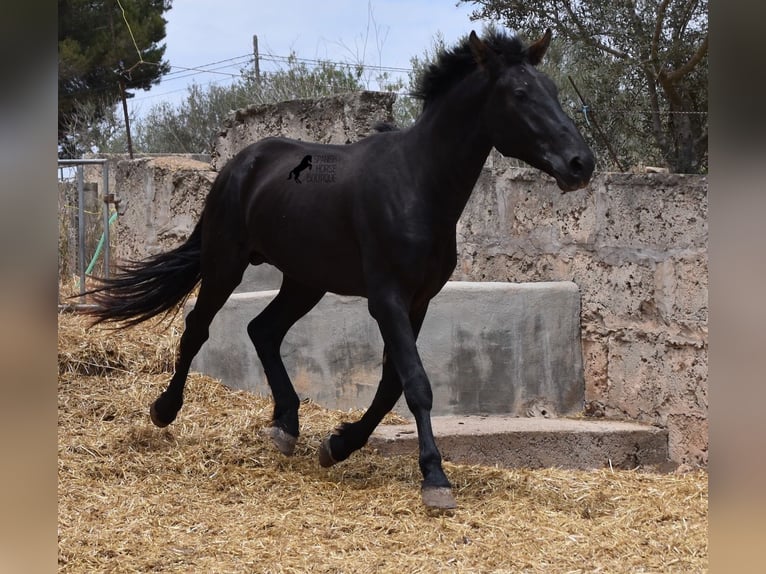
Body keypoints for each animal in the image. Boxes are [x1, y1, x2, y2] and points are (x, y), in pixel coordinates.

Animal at [87, 29, 596, 510]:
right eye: (520, 93)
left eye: (552, 88)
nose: (581, 163)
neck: (416, 184)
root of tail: (237, 166)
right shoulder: (386, 299)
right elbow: (415, 383)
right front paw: (434, 479)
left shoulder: (418, 302)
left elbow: (392, 383)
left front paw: (338, 444)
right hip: (226, 262)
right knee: (199, 326)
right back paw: (165, 410)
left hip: (304, 281)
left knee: (262, 330)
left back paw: (286, 426)